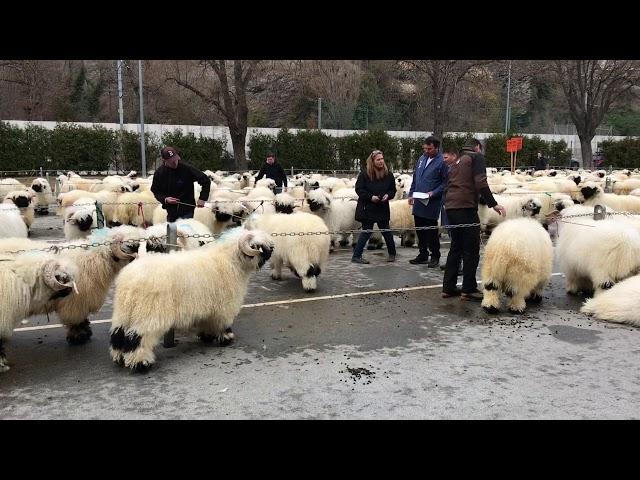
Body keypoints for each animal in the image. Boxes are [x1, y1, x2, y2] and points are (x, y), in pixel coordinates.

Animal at [109, 228, 274, 372]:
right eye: (259, 246)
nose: (273, 249)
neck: (230, 260)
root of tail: (130, 281)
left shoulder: (207, 307)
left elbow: (207, 322)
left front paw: (207, 336)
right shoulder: (224, 306)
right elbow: (223, 323)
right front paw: (226, 338)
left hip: (124, 312)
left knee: (118, 334)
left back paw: (119, 358)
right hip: (149, 314)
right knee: (138, 338)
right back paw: (141, 363)